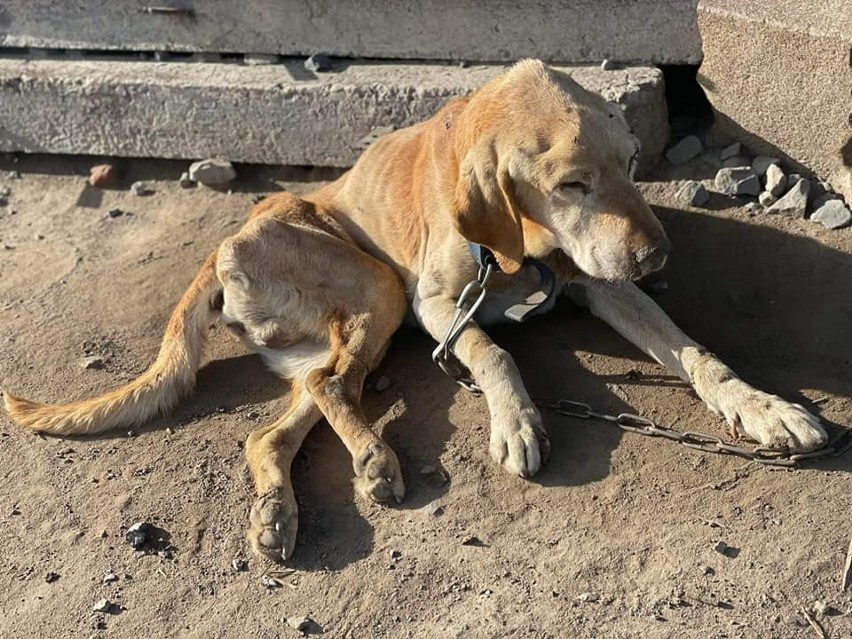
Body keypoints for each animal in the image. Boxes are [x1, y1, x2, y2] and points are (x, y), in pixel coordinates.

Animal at [3, 58, 828, 560]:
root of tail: (224, 244)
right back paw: (370, 458)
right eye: (570, 185)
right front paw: (516, 419)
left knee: (283, 422)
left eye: (630, 165)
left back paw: (284, 507)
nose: (657, 257)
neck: (518, 244)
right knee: (333, 386)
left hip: (329, 342)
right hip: (381, 288)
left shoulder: (602, 281)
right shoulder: (438, 305)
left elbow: (693, 351)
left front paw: (764, 408)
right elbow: (491, 349)